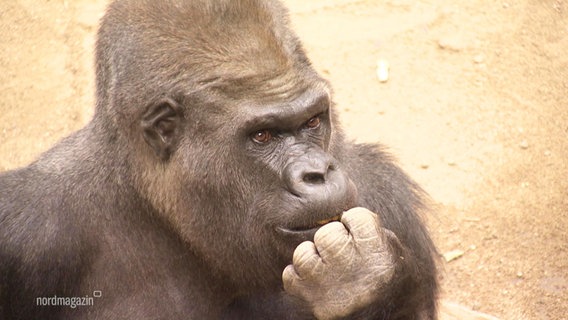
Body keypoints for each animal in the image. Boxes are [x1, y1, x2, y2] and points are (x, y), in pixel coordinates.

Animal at [0, 0, 440, 320]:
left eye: (313, 120)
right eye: (262, 136)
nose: (318, 172)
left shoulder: (383, 192)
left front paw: (364, 283)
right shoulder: (25, 229)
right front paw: (358, 281)